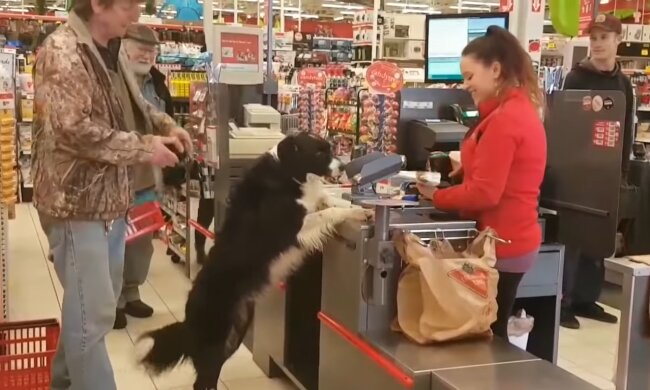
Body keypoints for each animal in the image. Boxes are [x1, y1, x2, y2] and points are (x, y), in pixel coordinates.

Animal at [139, 133, 372, 388]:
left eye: (330, 148)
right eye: (320, 152)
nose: (344, 167)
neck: (287, 172)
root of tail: (187, 320)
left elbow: (328, 201)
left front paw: (355, 207)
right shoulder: (291, 229)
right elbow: (326, 213)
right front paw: (352, 212)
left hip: (235, 334)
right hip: (217, 340)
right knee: (202, 381)